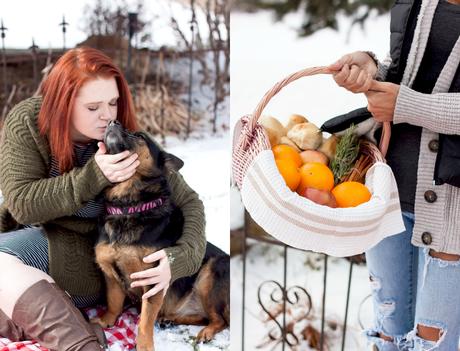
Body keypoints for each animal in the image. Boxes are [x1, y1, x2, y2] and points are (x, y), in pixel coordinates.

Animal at [91, 121, 230, 351]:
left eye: (139, 136)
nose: (112, 122)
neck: (129, 207)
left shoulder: (154, 280)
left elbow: (145, 320)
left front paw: (144, 345)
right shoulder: (110, 273)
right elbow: (113, 301)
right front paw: (106, 320)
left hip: (210, 273)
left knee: (220, 320)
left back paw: (207, 332)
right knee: (204, 316)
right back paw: (170, 319)